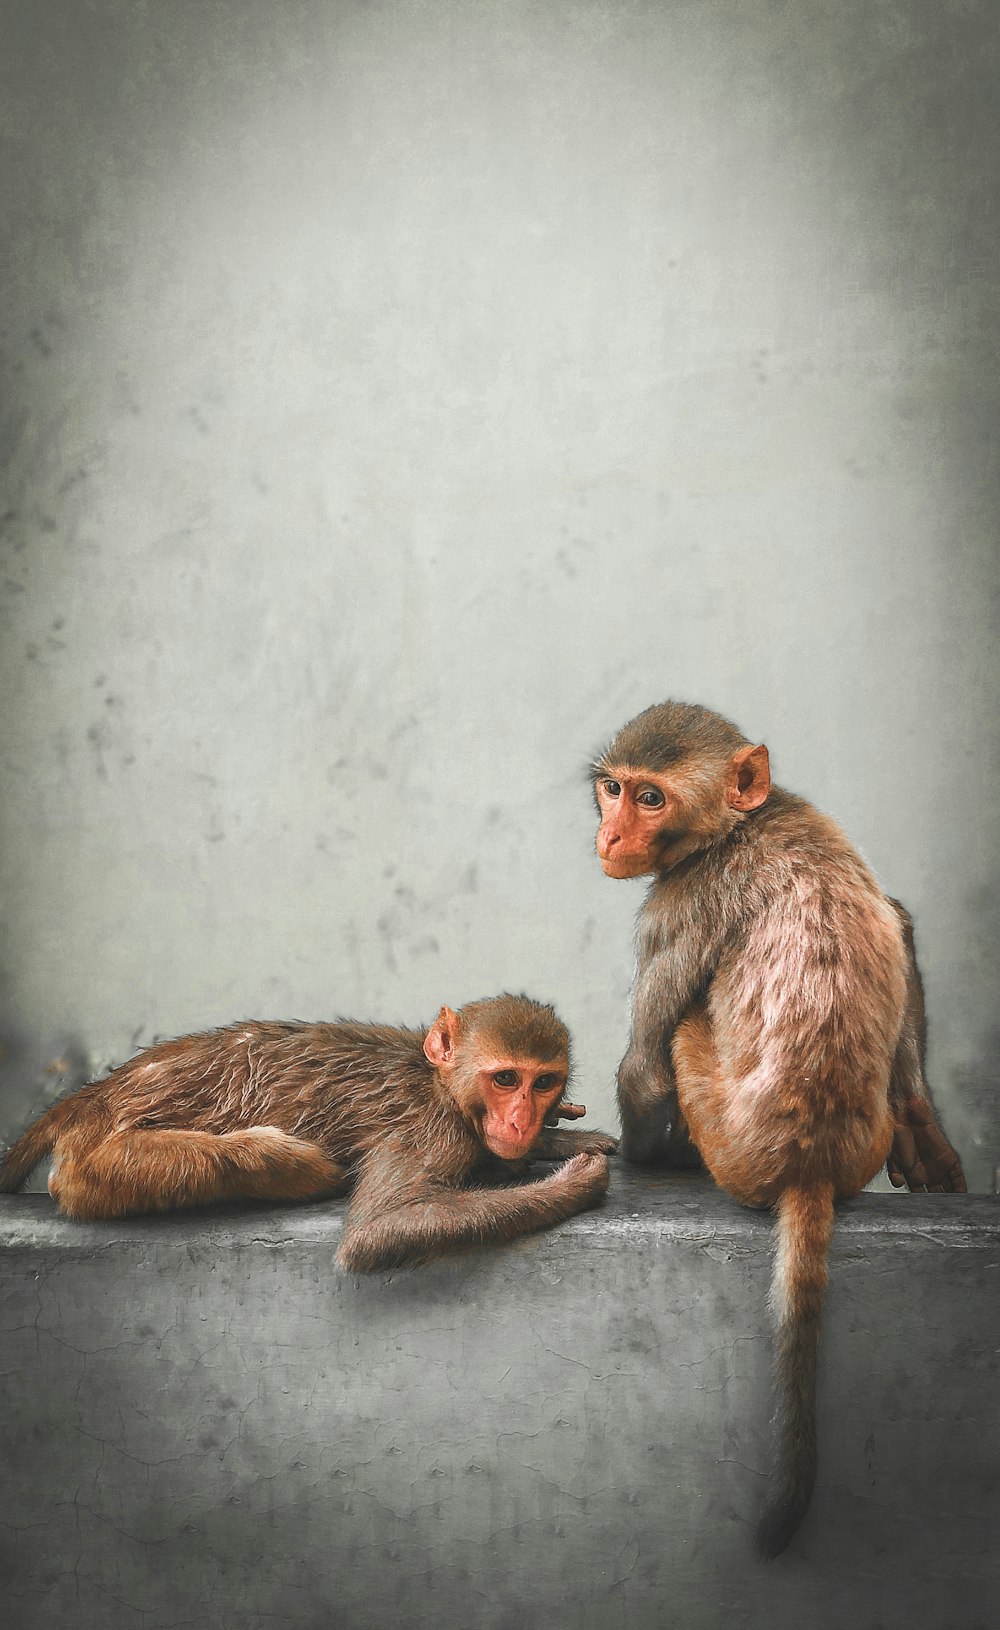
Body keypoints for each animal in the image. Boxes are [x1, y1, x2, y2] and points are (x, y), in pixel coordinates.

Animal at [0, 991, 616, 1271]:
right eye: (506, 1079)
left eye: (543, 1082)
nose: (520, 1119)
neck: (441, 1085)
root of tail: (97, 1094)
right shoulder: (426, 1129)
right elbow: (379, 1231)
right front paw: (571, 1184)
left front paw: (554, 1140)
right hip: (100, 1162)